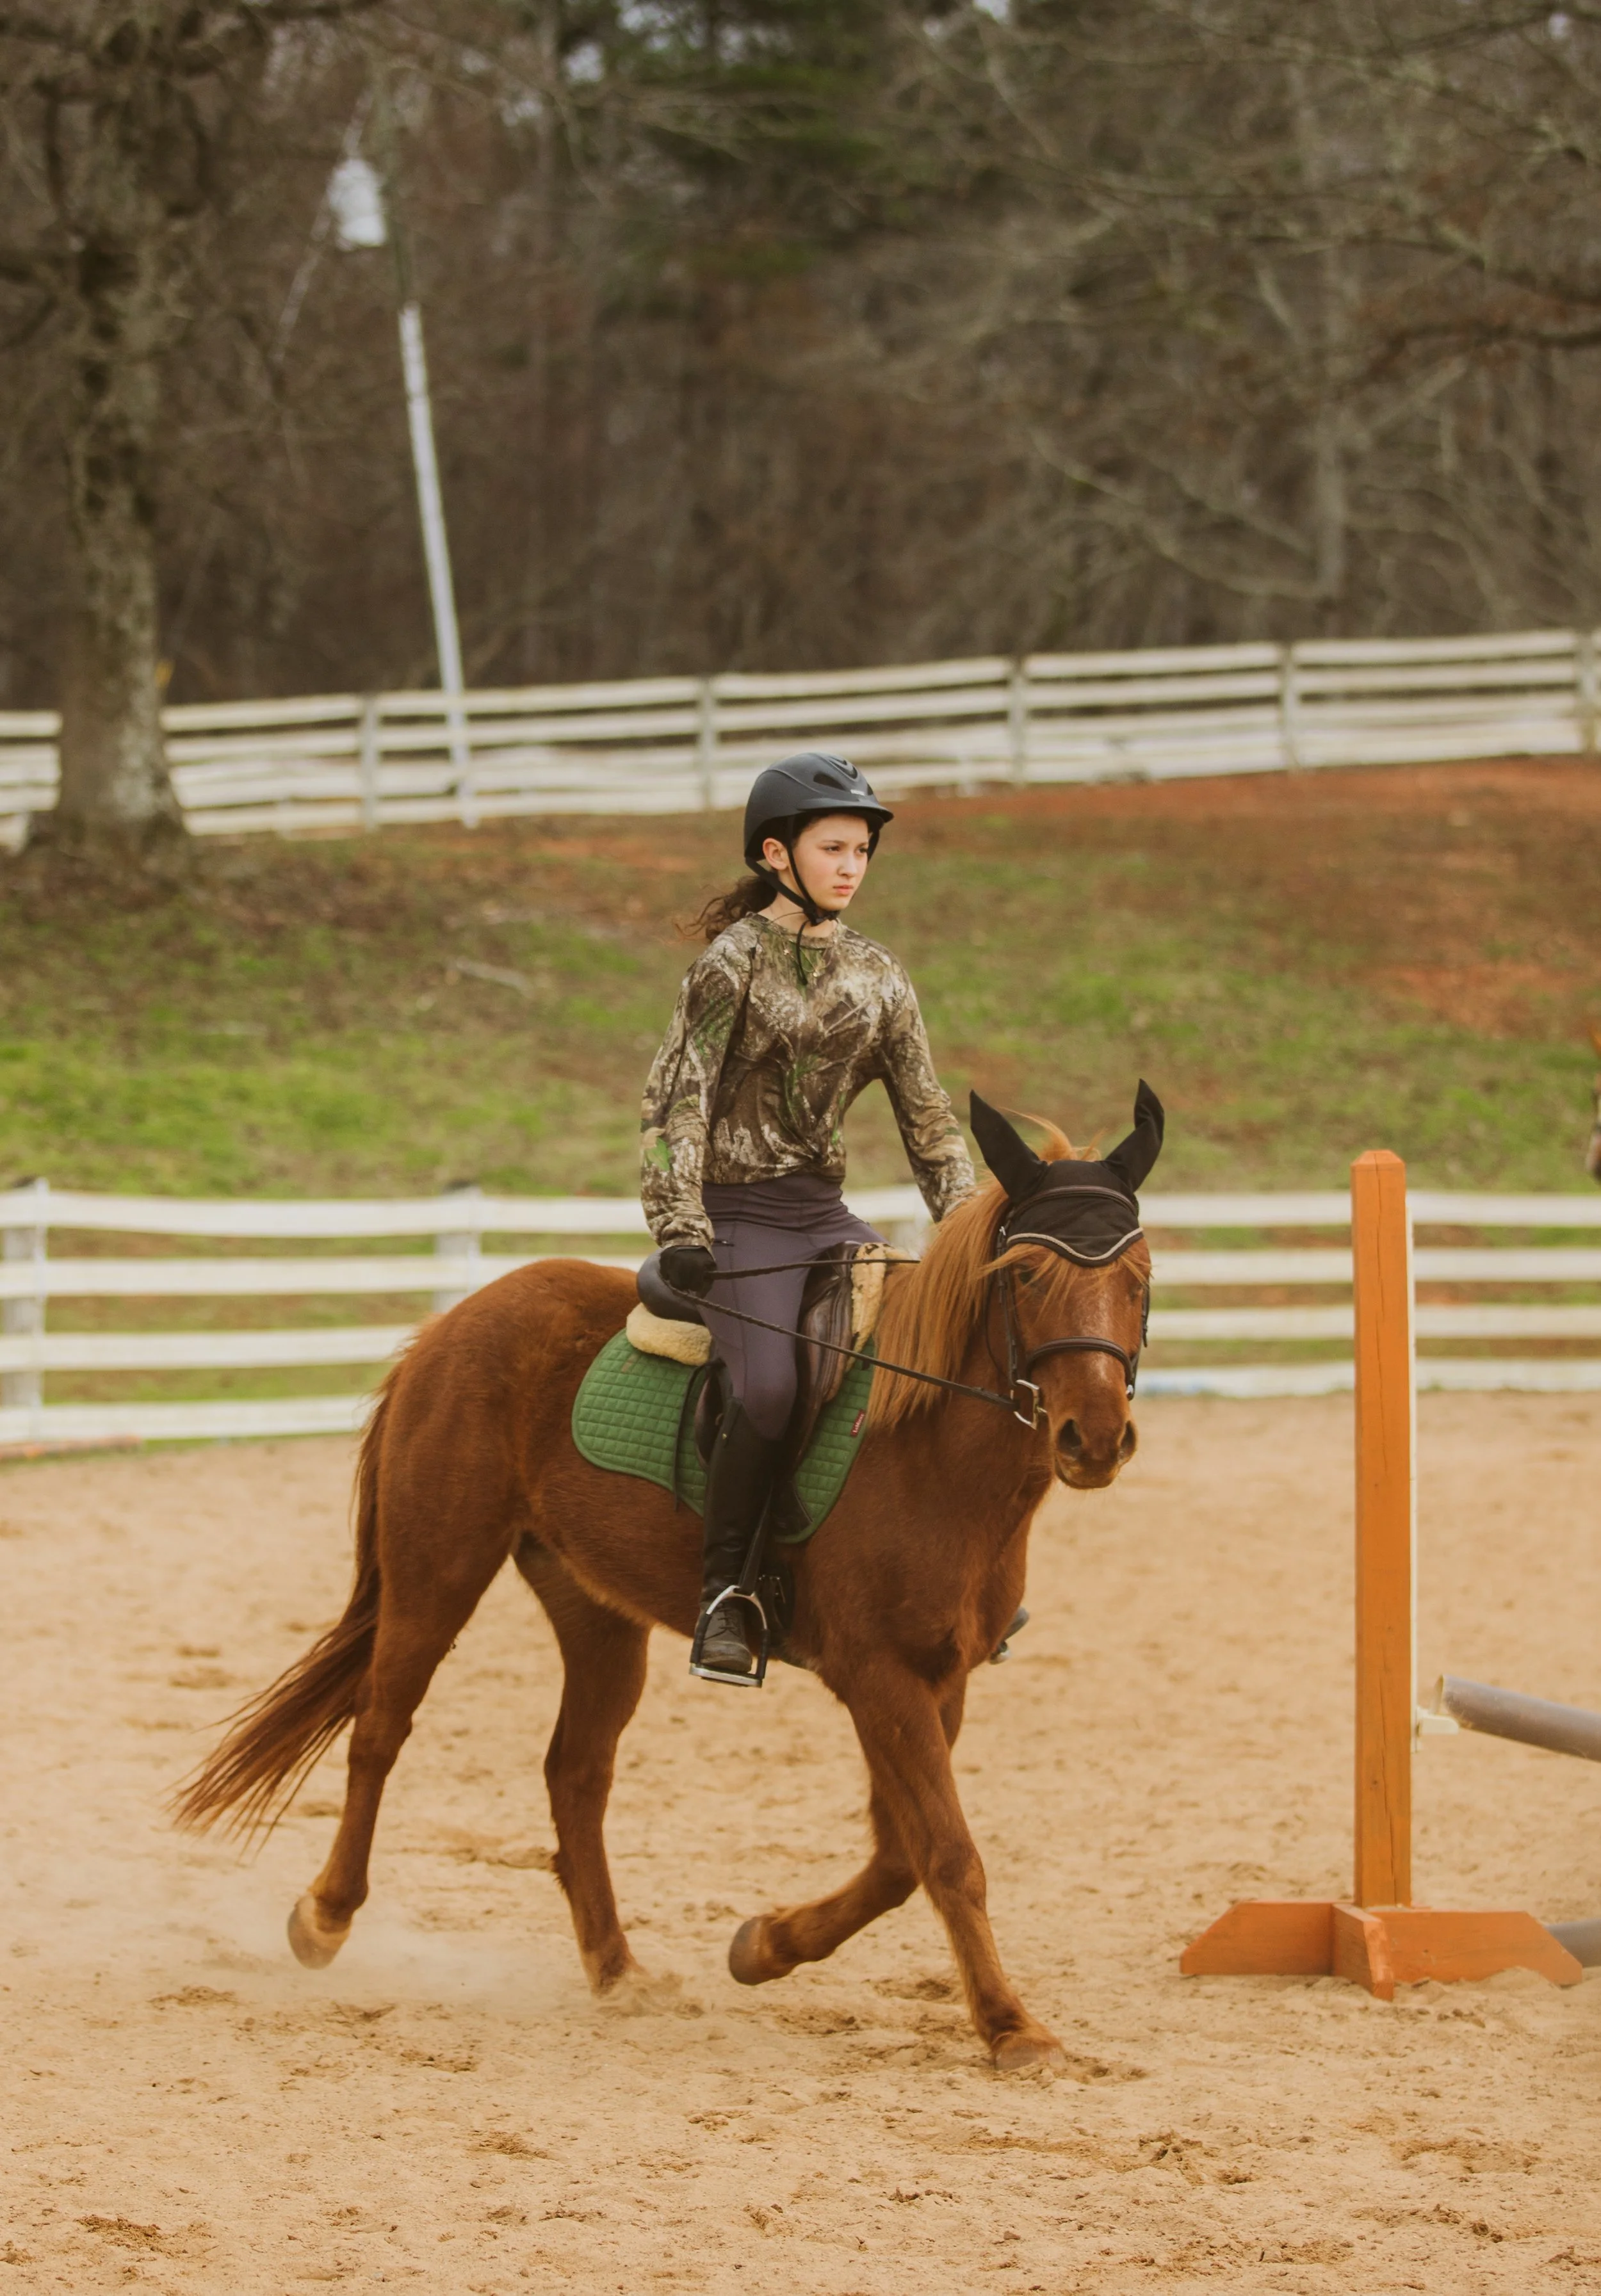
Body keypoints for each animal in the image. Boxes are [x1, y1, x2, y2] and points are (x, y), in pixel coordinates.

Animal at [174, 1088, 1161, 2072]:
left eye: (1141, 1274)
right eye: (1025, 1275)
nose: (1093, 1438)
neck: (922, 1442)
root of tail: (451, 1325)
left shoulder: (937, 1676)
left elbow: (899, 1854)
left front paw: (765, 1944)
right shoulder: (879, 1676)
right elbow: (948, 1852)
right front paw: (1011, 2025)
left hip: (596, 1611)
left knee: (575, 1773)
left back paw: (616, 1967)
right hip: (438, 1569)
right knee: (382, 1728)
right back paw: (324, 1918)